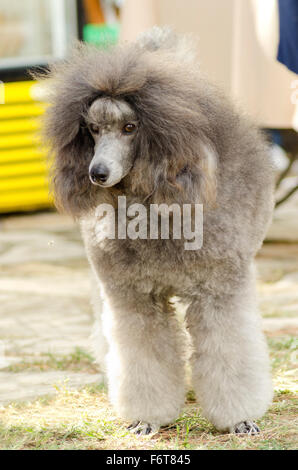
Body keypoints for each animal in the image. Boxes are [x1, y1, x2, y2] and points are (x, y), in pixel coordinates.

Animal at [39, 27, 274, 436]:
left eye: (130, 128)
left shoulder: (219, 292)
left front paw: (238, 418)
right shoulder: (133, 297)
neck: (154, 204)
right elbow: (143, 357)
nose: (97, 173)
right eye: (93, 129)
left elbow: (229, 351)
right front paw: (147, 418)